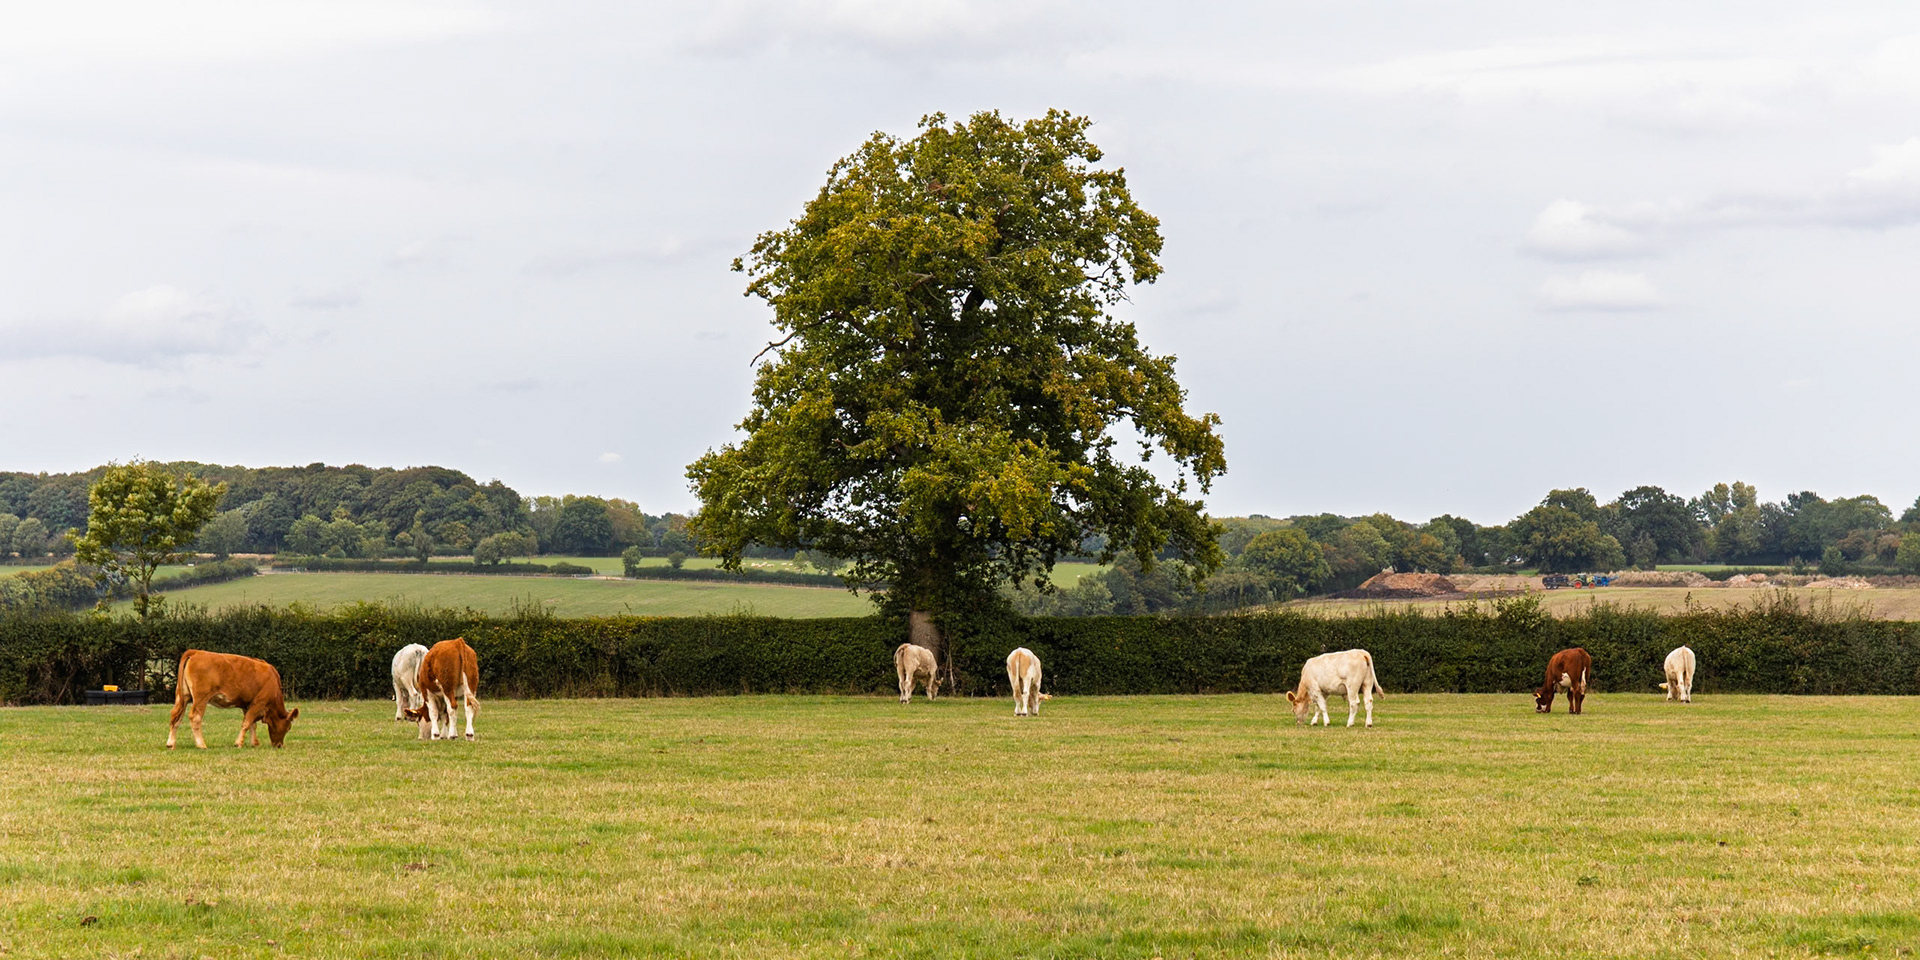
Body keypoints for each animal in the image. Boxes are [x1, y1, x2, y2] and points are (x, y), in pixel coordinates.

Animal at [166, 650, 300, 749]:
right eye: (288, 727)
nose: (279, 745)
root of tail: (196, 652)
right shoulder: (258, 703)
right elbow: (247, 723)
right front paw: (239, 743)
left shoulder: (247, 705)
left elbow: (252, 724)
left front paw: (254, 743)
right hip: (201, 698)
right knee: (195, 718)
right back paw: (201, 744)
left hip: (182, 697)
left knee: (176, 717)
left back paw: (171, 744)